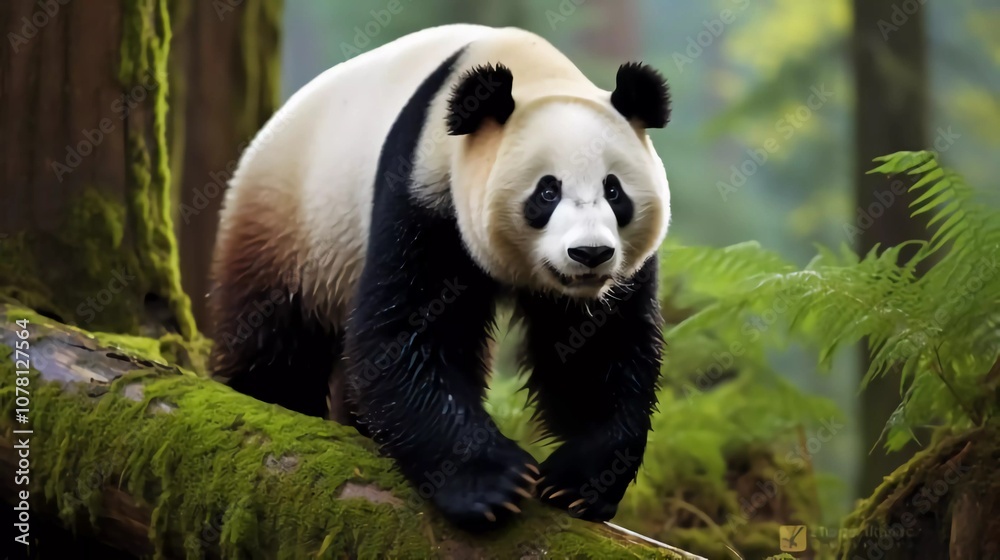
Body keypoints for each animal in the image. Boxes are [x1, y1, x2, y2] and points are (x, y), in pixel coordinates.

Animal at [210, 24, 671, 531]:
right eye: (547, 191)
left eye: (614, 191)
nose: (590, 254)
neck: (532, 71)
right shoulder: (422, 189)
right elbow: (404, 333)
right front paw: (490, 484)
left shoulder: (611, 281)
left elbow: (600, 348)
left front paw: (578, 482)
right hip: (294, 227)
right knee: (276, 338)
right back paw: (266, 394)